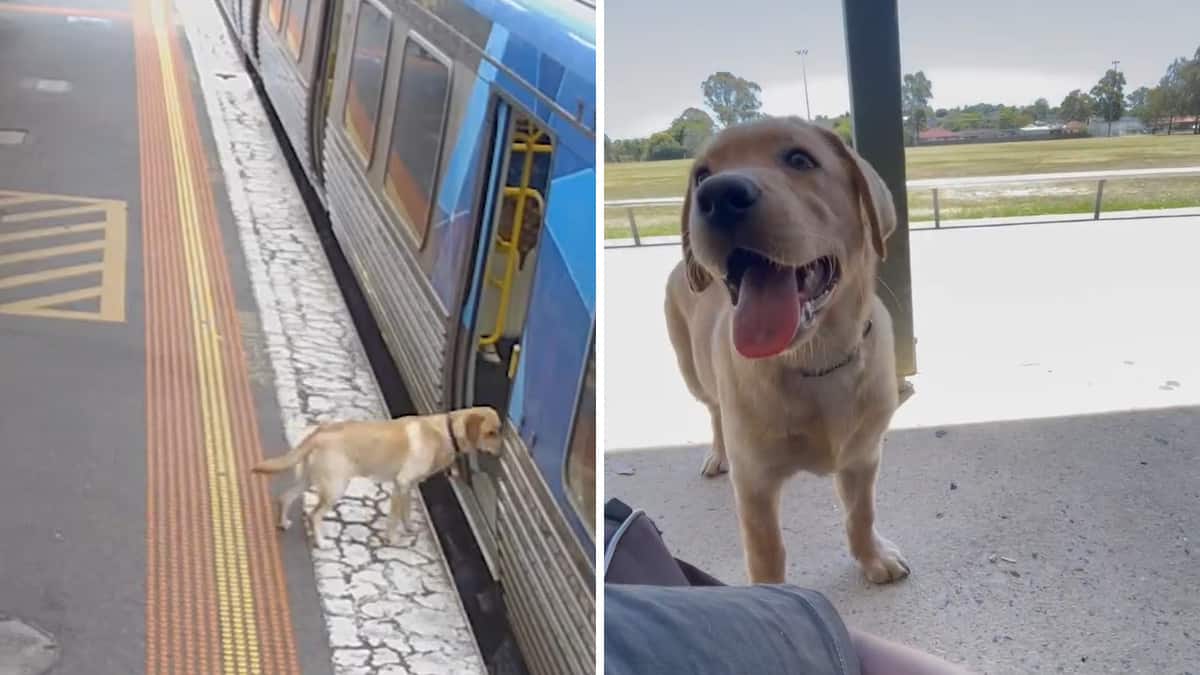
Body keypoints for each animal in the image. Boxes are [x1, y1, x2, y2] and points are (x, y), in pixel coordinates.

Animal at [253, 403, 501, 547]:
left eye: (499, 431)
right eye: (490, 433)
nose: (501, 453)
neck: (446, 431)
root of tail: (318, 434)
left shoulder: (409, 487)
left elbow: (406, 513)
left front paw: (409, 529)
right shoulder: (402, 484)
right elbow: (393, 518)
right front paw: (393, 539)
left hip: (309, 478)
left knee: (285, 497)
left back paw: (283, 522)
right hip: (335, 487)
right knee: (314, 515)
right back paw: (321, 541)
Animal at [667, 115, 907, 583]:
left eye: (800, 159)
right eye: (701, 175)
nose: (718, 195)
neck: (815, 361)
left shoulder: (864, 456)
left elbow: (861, 512)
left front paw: (872, 556)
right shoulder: (755, 482)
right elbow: (767, 550)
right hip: (692, 371)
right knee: (715, 411)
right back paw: (717, 454)